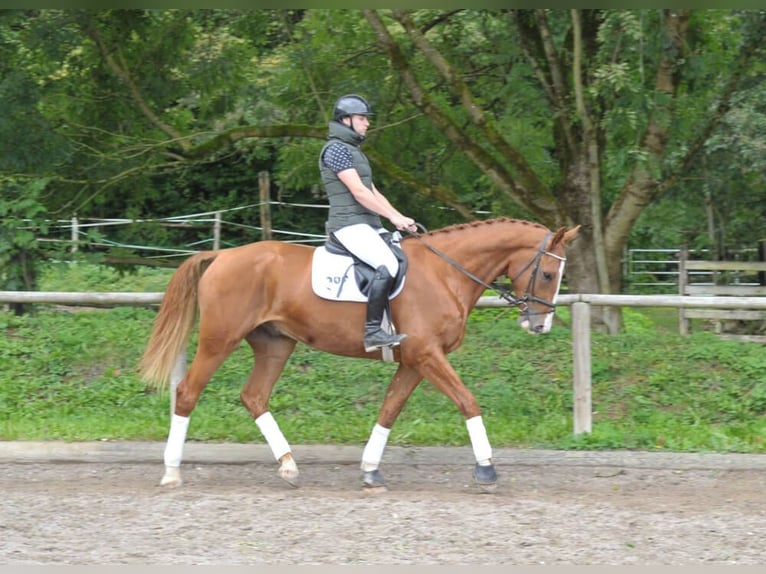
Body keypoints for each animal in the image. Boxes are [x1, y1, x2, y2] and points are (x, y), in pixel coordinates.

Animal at [141, 218, 580, 492]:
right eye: (547, 274)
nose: (540, 326)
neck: (446, 273)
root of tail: (221, 255)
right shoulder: (427, 355)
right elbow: (468, 402)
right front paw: (486, 469)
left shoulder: (414, 361)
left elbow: (389, 410)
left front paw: (370, 471)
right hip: (220, 339)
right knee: (187, 393)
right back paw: (171, 473)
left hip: (275, 344)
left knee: (254, 396)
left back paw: (289, 466)